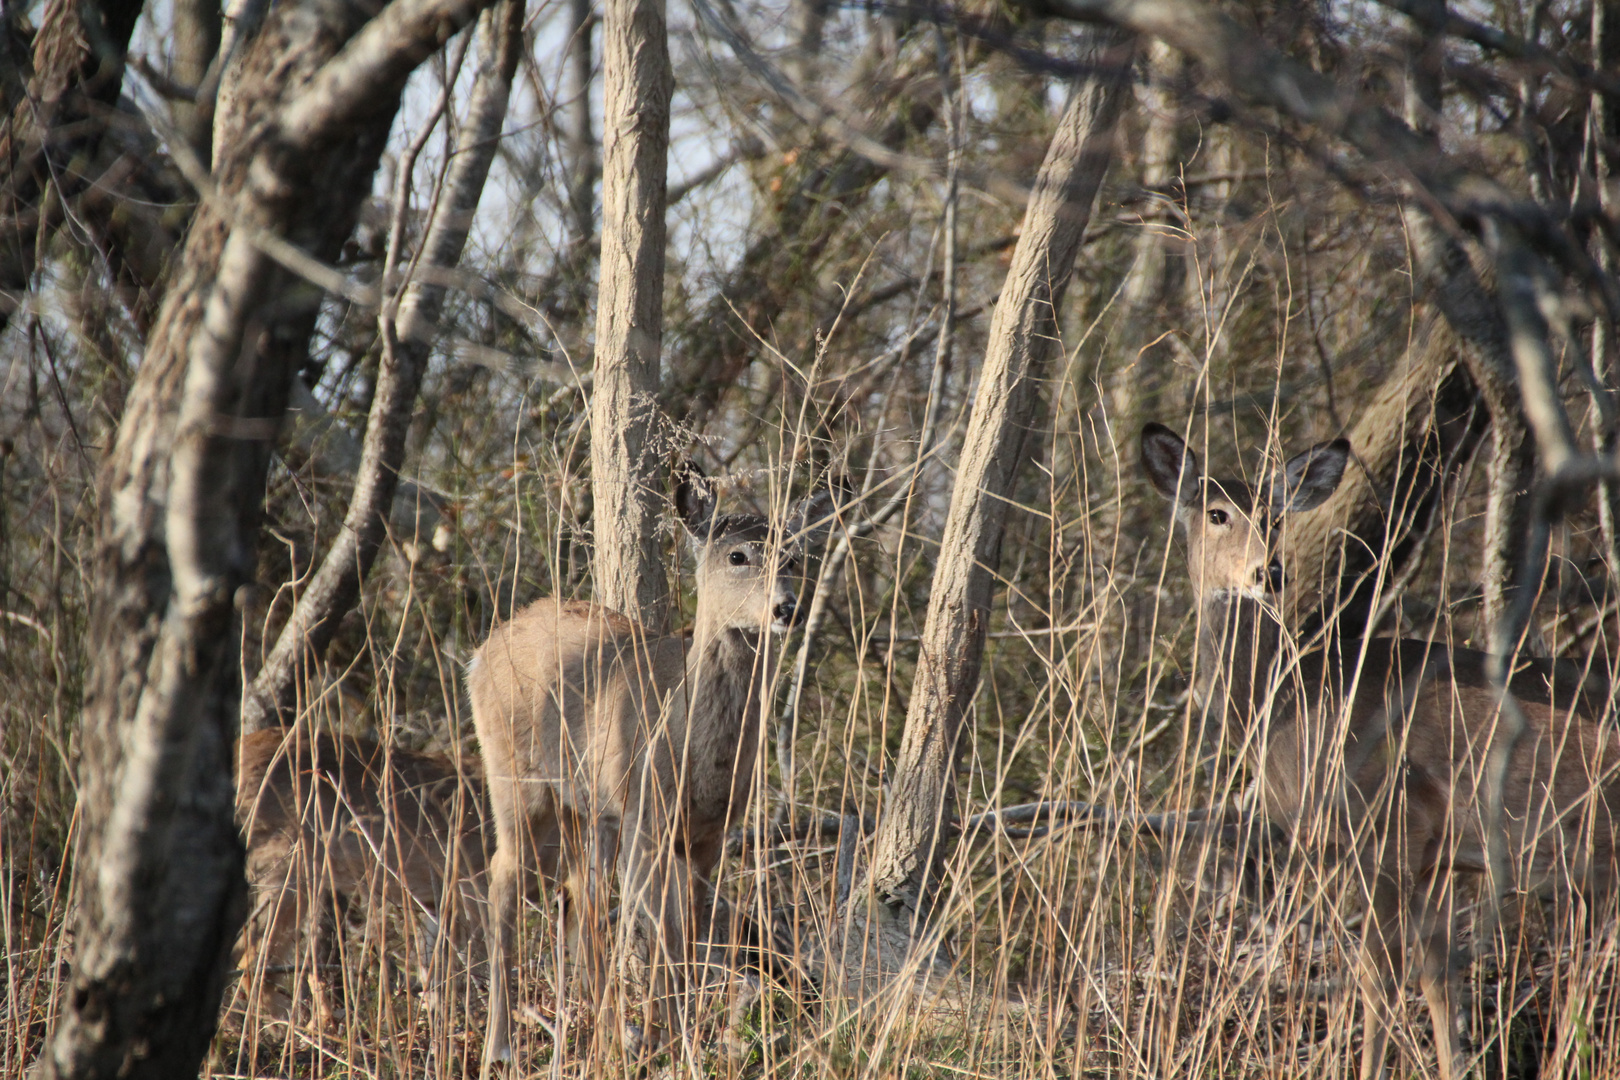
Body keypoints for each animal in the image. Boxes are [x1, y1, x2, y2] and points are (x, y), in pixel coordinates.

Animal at [463, 466, 829, 1075]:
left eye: (795, 557)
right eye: (737, 556)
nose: (787, 608)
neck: (693, 753)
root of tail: (480, 651)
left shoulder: (707, 835)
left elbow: (689, 934)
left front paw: (676, 1040)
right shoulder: (646, 819)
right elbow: (659, 931)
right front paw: (675, 1044)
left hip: (589, 807)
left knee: (579, 898)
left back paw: (604, 1032)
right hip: (517, 779)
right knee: (505, 877)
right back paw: (502, 1047)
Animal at [1140, 420, 1620, 1080]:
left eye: (1274, 516)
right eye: (1216, 512)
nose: (1271, 572)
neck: (1287, 702)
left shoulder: (1388, 824)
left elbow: (1376, 979)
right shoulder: (1439, 857)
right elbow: (1440, 977)